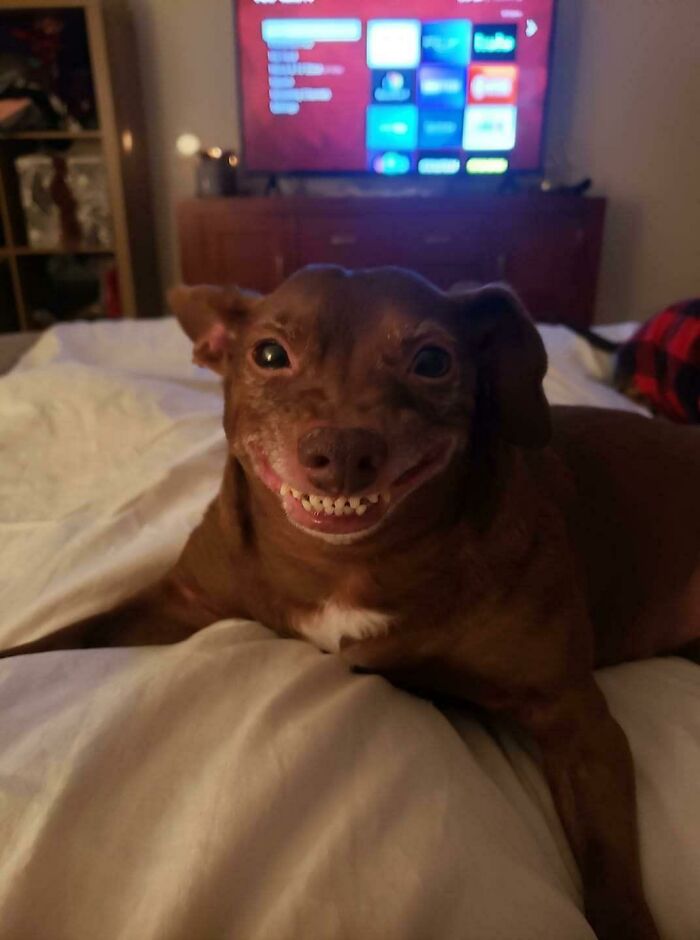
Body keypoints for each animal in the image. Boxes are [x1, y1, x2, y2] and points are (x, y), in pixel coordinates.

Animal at [1, 266, 700, 940]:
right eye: (269, 353)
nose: (341, 453)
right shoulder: (180, 602)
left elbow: (612, 873)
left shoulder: (576, 719)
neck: (344, 564)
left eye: (432, 361)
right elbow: (65, 637)